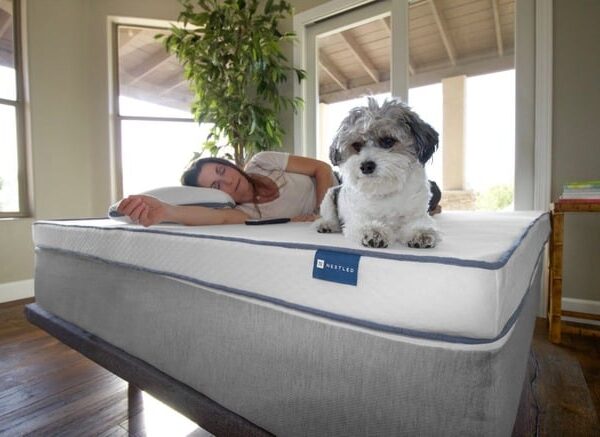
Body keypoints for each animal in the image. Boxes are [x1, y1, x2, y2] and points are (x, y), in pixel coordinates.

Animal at [316, 99, 438, 249]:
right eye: (357, 145)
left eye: (388, 141)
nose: (366, 166)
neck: (385, 190)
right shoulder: (357, 217)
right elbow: (364, 224)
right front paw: (374, 232)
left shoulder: (417, 213)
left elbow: (419, 224)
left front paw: (421, 233)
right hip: (328, 198)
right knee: (330, 217)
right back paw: (327, 225)